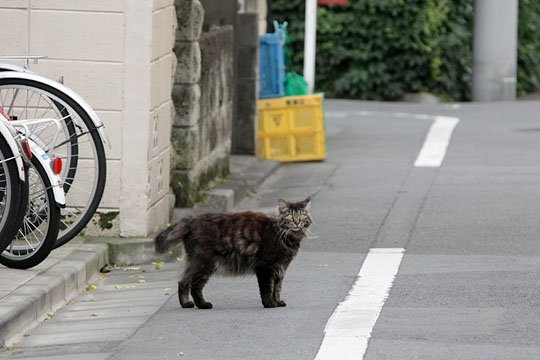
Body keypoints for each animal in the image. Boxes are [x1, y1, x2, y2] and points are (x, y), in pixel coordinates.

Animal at [154, 197, 312, 310]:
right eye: (290, 216)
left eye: (302, 216)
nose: (297, 223)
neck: (286, 236)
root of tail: (192, 219)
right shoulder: (266, 267)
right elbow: (267, 288)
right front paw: (269, 304)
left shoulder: (280, 268)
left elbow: (277, 288)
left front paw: (278, 302)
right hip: (205, 263)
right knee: (195, 286)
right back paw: (203, 305)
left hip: (195, 262)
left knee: (183, 282)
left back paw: (186, 304)